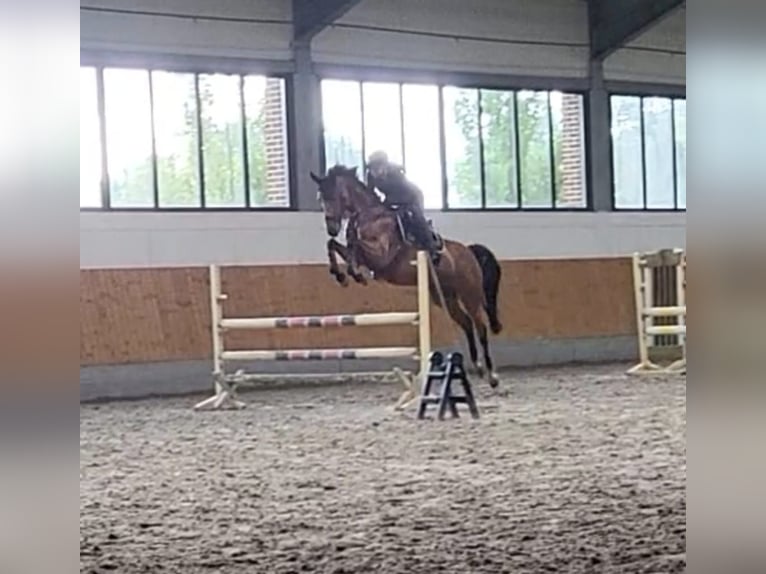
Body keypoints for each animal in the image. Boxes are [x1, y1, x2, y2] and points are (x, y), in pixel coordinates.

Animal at [310, 164, 504, 388]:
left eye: (335, 196)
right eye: (320, 198)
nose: (332, 228)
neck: (370, 215)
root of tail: (469, 251)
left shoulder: (381, 257)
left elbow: (355, 247)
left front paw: (355, 274)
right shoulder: (364, 256)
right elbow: (335, 246)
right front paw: (341, 275)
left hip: (469, 294)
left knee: (480, 326)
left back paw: (492, 375)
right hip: (444, 297)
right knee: (466, 323)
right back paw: (478, 367)